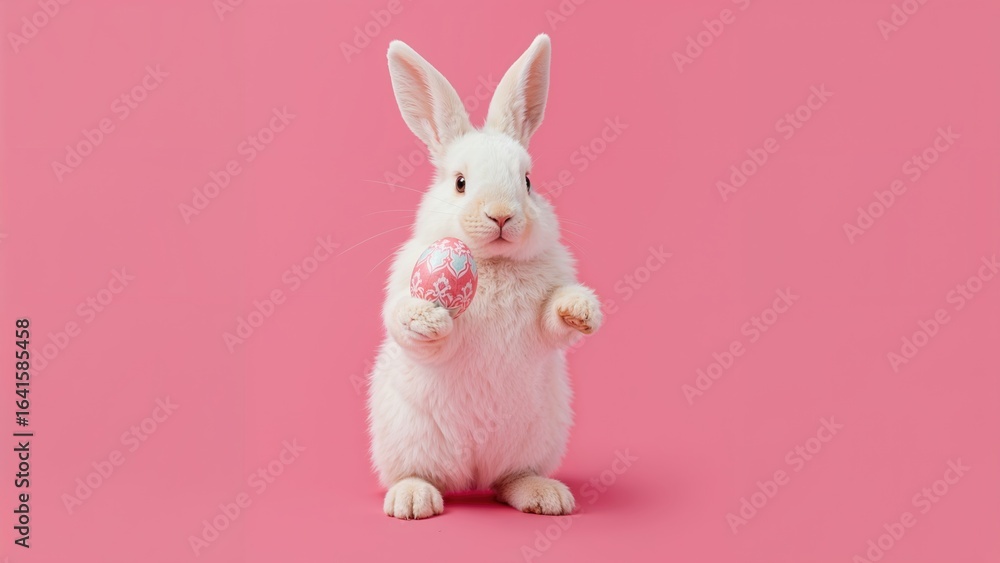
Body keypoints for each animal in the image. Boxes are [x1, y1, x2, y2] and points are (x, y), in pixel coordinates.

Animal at [367, 34, 602, 520]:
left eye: (528, 181)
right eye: (460, 182)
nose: (501, 215)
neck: (491, 263)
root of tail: (470, 475)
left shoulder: (545, 315)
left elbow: (554, 320)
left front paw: (580, 309)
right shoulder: (405, 288)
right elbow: (409, 325)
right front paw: (428, 319)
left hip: (536, 439)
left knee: (507, 479)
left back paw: (545, 495)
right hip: (404, 437)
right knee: (415, 474)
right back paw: (412, 500)